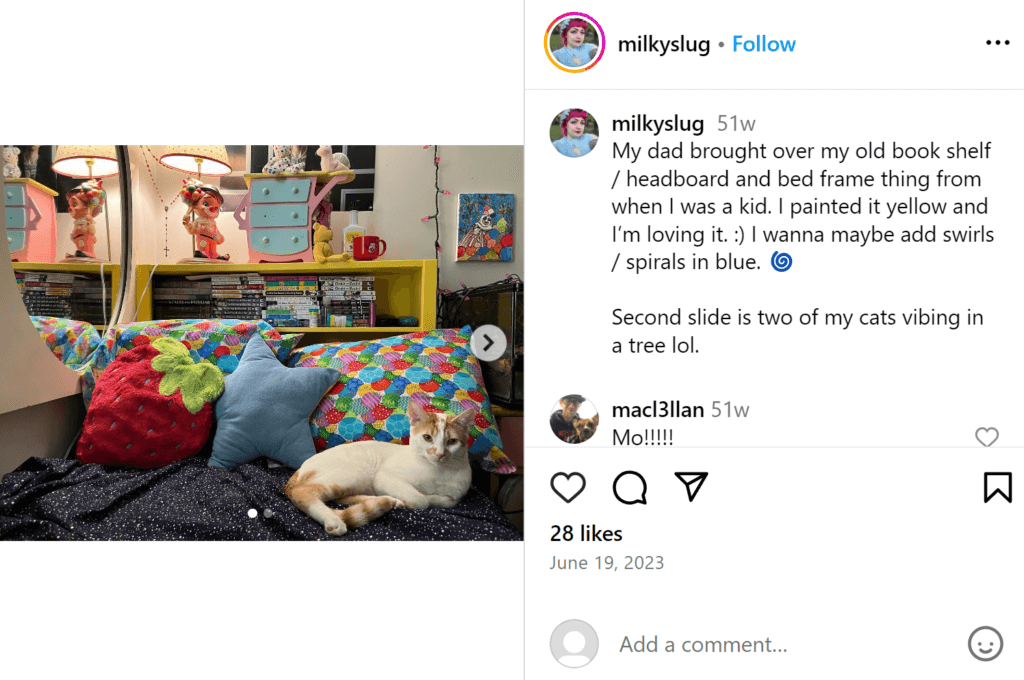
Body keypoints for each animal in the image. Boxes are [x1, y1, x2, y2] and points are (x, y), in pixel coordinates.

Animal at [284, 401, 475, 532]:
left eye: (452, 441)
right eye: (427, 438)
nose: (440, 454)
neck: (436, 472)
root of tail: (298, 472)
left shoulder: (457, 495)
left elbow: (446, 500)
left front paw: (429, 498)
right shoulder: (384, 477)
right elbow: (421, 500)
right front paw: (419, 499)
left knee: (343, 498)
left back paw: (388, 501)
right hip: (356, 472)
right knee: (304, 491)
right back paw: (334, 520)